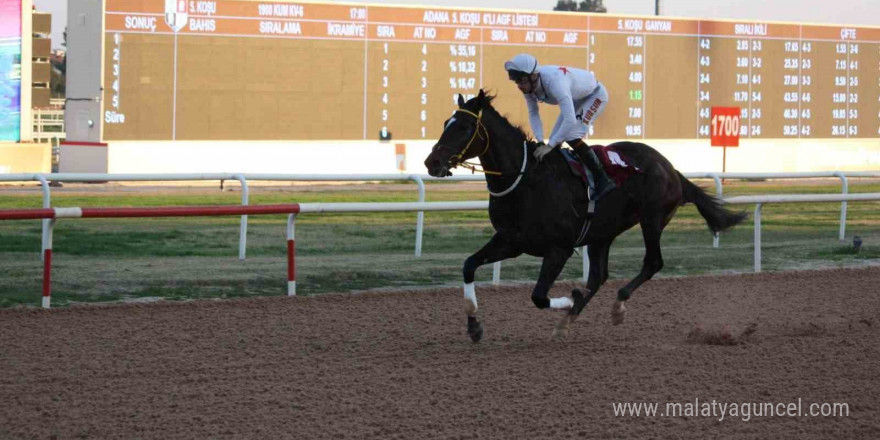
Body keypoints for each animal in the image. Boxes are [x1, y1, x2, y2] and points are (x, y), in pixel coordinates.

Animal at [422, 90, 744, 344]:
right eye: (445, 123)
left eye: (465, 126)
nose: (431, 162)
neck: (526, 181)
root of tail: (670, 167)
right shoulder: (511, 241)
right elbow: (468, 265)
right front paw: (474, 326)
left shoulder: (559, 248)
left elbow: (539, 296)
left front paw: (571, 300)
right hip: (602, 233)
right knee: (599, 275)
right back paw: (567, 321)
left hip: (652, 220)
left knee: (652, 263)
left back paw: (615, 307)